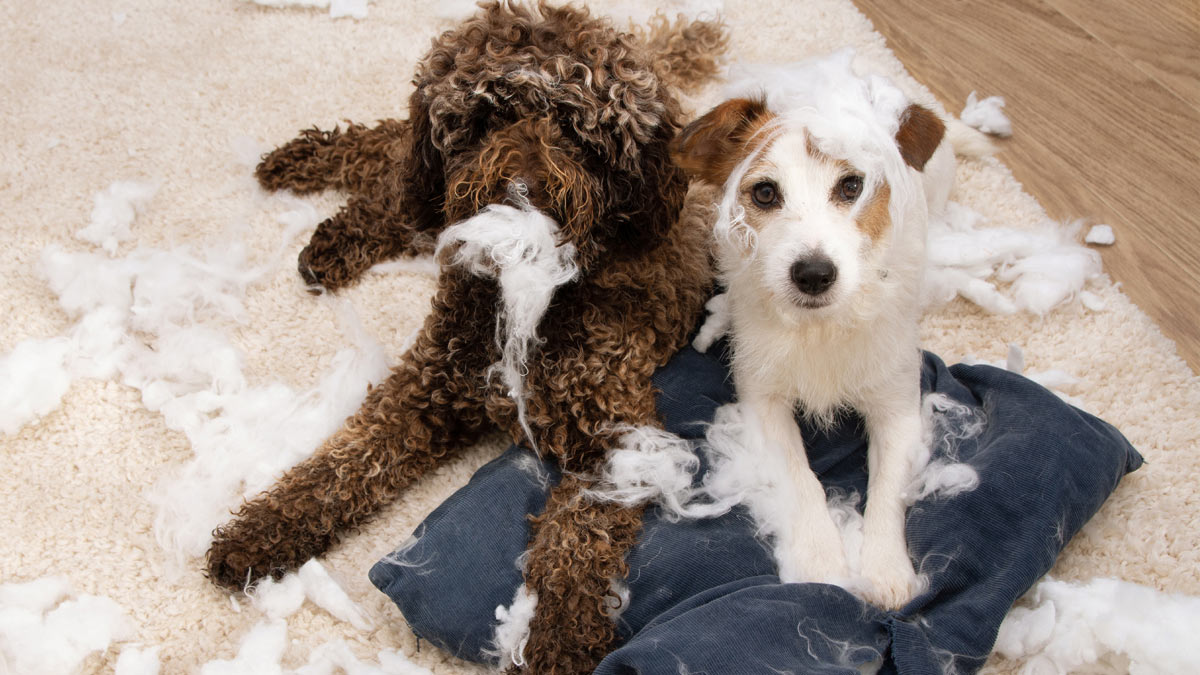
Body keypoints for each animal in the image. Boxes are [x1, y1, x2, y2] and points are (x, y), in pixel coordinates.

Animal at [206, 2, 724, 667]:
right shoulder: (425, 388)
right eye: (487, 117)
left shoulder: (617, 439)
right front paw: (259, 531)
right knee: (391, 155)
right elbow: (342, 465)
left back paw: (329, 230)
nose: (521, 190)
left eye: (575, 128)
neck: (530, 300)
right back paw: (306, 174)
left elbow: (577, 547)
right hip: (423, 184)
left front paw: (556, 638)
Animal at [676, 55, 955, 607]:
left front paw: (885, 569)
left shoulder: (896, 407)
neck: (819, 327)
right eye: (765, 192)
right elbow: (800, 475)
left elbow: (888, 487)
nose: (812, 273)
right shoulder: (763, 399)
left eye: (852, 187)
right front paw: (820, 559)